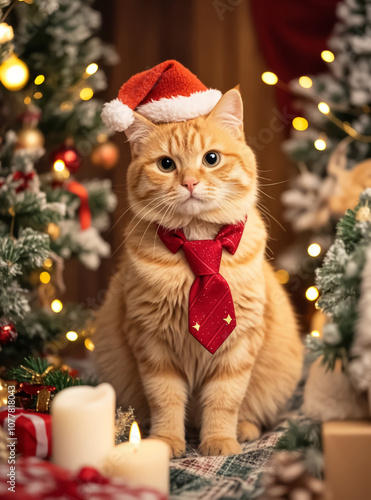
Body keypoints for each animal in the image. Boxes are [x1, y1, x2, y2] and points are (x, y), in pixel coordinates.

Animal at [94, 89, 304, 458]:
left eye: (211, 158)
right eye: (166, 164)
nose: (190, 182)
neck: (198, 245)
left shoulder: (239, 344)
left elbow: (224, 400)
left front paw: (219, 442)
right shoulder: (151, 342)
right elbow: (165, 399)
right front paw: (165, 442)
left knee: (248, 411)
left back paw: (243, 430)